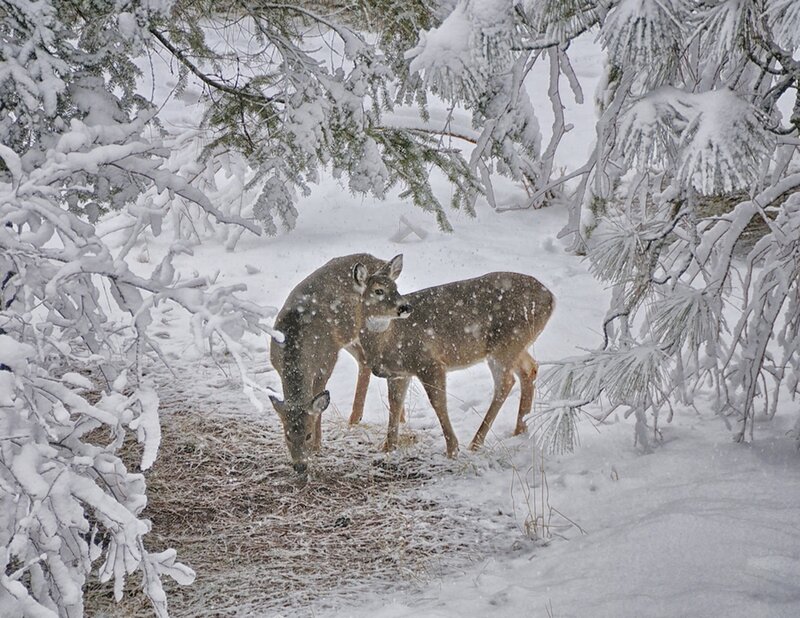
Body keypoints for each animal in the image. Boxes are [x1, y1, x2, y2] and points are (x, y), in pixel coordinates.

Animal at [269, 253, 403, 474]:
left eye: (307, 434)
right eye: (287, 435)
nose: (300, 466)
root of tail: (380, 261)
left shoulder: (327, 360)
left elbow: (318, 402)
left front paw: (317, 446)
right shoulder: (276, 365)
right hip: (350, 337)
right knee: (364, 361)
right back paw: (359, 418)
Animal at [353, 255, 555, 458]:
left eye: (396, 287)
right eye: (379, 290)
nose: (405, 307)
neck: (388, 341)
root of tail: (551, 298)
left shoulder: (429, 362)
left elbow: (438, 402)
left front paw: (452, 449)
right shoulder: (398, 373)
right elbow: (395, 404)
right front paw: (388, 447)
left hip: (506, 344)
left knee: (506, 383)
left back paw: (476, 443)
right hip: (516, 345)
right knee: (530, 368)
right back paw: (520, 430)